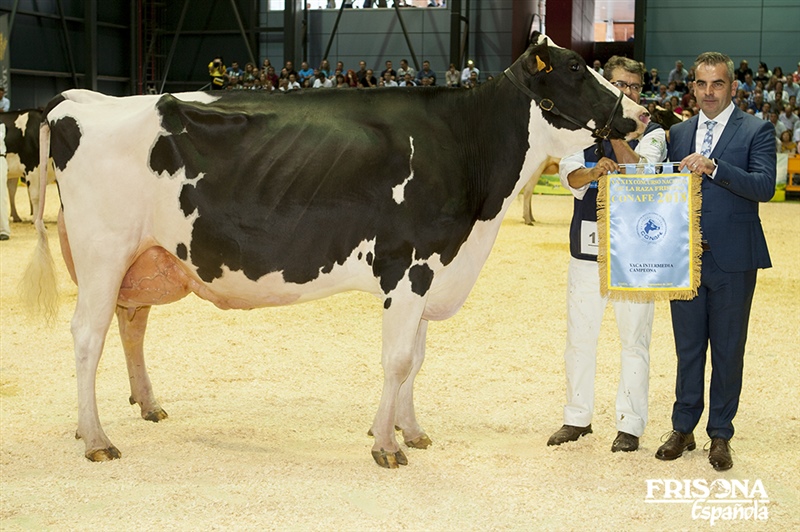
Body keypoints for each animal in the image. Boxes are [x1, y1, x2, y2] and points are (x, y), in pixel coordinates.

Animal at [22, 33, 648, 468]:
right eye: (575, 69)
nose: (644, 115)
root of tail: (79, 101)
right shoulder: (409, 268)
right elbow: (398, 360)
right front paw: (386, 444)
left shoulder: (431, 273)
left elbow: (417, 359)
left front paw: (410, 431)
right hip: (104, 253)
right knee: (87, 336)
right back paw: (96, 438)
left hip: (142, 258)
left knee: (130, 323)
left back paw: (136, 409)